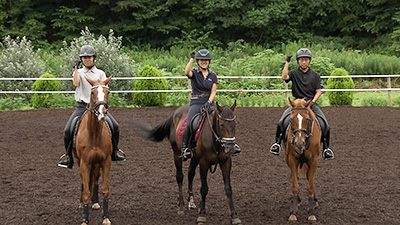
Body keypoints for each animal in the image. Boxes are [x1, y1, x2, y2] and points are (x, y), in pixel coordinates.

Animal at [73, 76, 112, 225]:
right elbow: (85, 192)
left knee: (94, 179)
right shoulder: (84, 163)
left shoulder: (106, 162)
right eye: (92, 93)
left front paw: (105, 217)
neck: (94, 133)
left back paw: (95, 202)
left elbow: (105, 189)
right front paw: (85, 219)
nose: (102, 113)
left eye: (108, 92)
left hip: (96, 163)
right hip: (80, 162)